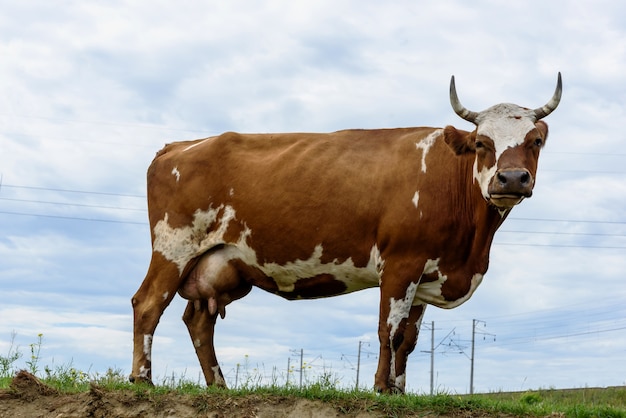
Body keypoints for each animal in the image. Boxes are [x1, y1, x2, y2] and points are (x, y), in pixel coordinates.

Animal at [129, 74, 560, 392]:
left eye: (536, 141)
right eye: (481, 143)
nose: (512, 178)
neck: (471, 248)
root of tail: (178, 146)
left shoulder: (426, 271)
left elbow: (410, 339)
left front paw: (400, 390)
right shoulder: (401, 262)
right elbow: (390, 330)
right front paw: (381, 388)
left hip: (221, 264)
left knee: (198, 321)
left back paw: (219, 386)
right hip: (174, 247)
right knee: (148, 304)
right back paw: (142, 379)